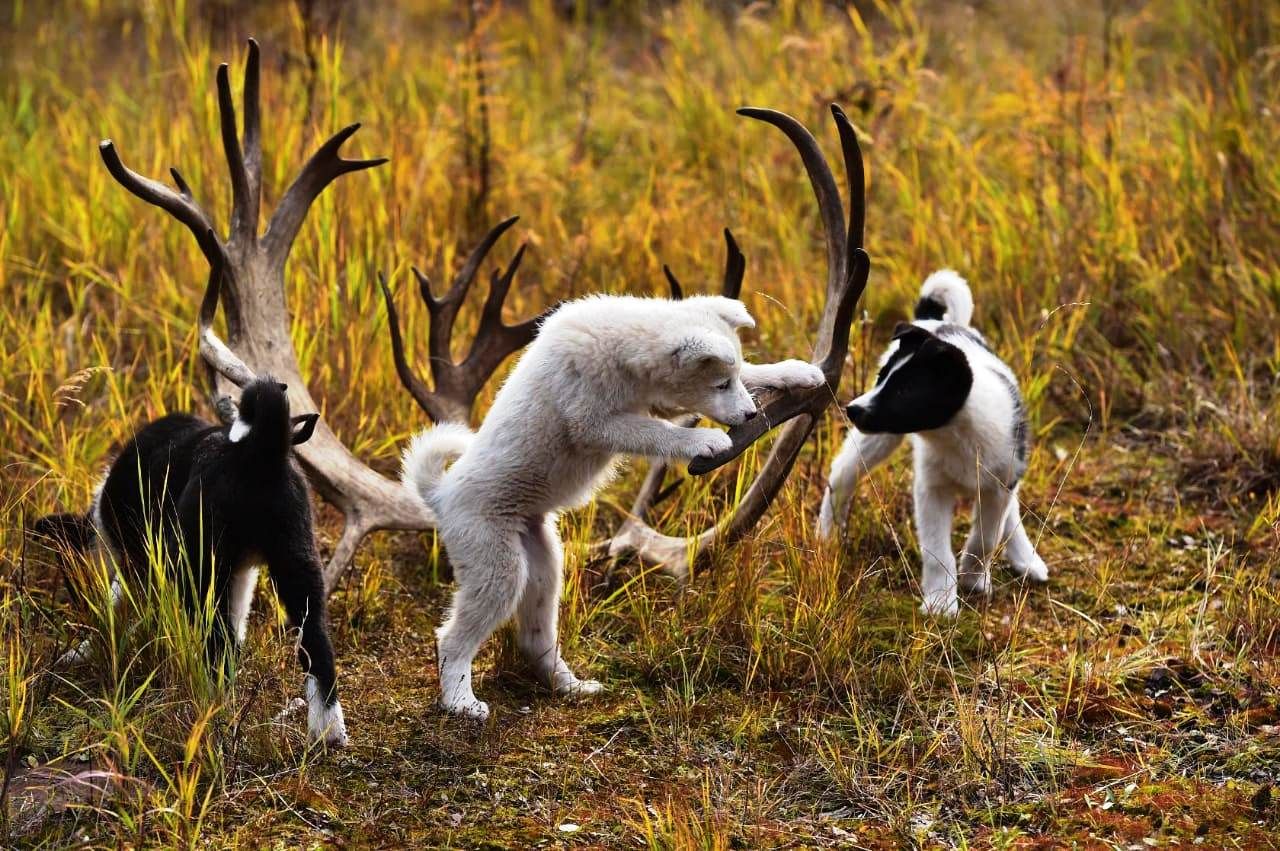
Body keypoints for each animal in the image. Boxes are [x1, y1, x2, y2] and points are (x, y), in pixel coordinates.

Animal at [36, 378, 345, 742]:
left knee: (221, 642)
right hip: (297, 560)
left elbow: (115, 609)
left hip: (193, 566)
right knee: (315, 644)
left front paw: (81, 651)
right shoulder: (239, 573)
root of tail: (260, 451)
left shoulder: (141, 560)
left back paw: (208, 710)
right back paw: (328, 731)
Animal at [401, 291, 819, 716]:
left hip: (544, 562)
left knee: (535, 637)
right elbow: (656, 432)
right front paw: (703, 441)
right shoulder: (596, 423)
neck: (624, 352)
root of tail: (441, 493)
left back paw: (571, 686)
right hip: (496, 564)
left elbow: (751, 372)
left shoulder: (654, 402)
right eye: (720, 384)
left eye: (730, 381)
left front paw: (796, 371)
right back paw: (461, 702)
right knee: (452, 638)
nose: (751, 414)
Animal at [819, 268, 1049, 614]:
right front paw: (941, 601)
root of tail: (931, 321)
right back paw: (826, 532)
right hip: (877, 440)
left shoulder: (999, 484)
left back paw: (1026, 559)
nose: (852, 409)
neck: (955, 433)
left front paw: (972, 576)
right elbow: (937, 550)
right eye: (881, 379)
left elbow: (986, 538)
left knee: (1010, 513)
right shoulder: (932, 489)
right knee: (842, 474)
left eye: (903, 391)